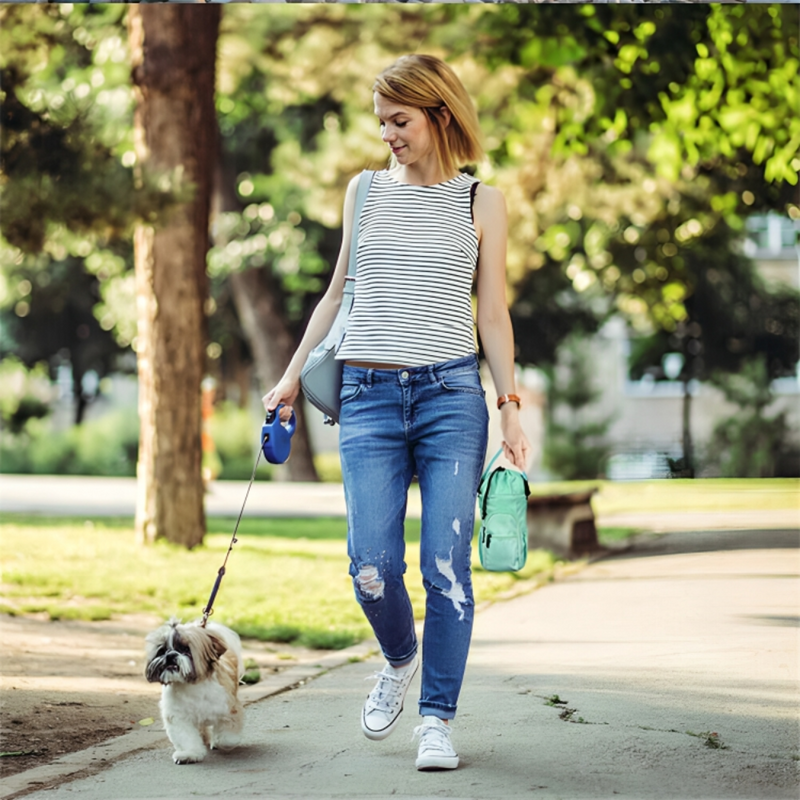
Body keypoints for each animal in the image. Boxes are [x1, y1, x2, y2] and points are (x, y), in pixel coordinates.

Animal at [144, 620, 244, 764]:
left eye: (186, 649)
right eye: (162, 650)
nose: (170, 655)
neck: (191, 685)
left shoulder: (228, 709)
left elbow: (228, 737)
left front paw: (220, 741)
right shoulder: (179, 717)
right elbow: (186, 737)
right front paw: (189, 754)